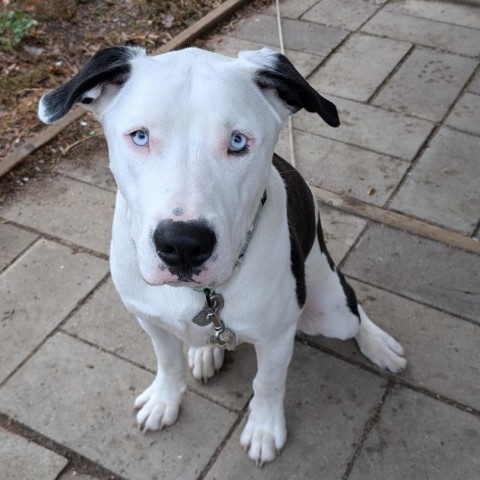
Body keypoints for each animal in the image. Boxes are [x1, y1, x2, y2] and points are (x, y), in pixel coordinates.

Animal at [38, 45, 404, 464]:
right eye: (140, 136)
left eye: (238, 141)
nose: (182, 245)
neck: (201, 297)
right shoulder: (149, 318)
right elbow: (168, 361)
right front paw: (165, 400)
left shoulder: (277, 338)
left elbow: (268, 383)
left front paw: (264, 429)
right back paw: (205, 354)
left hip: (331, 310)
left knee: (354, 312)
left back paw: (379, 345)